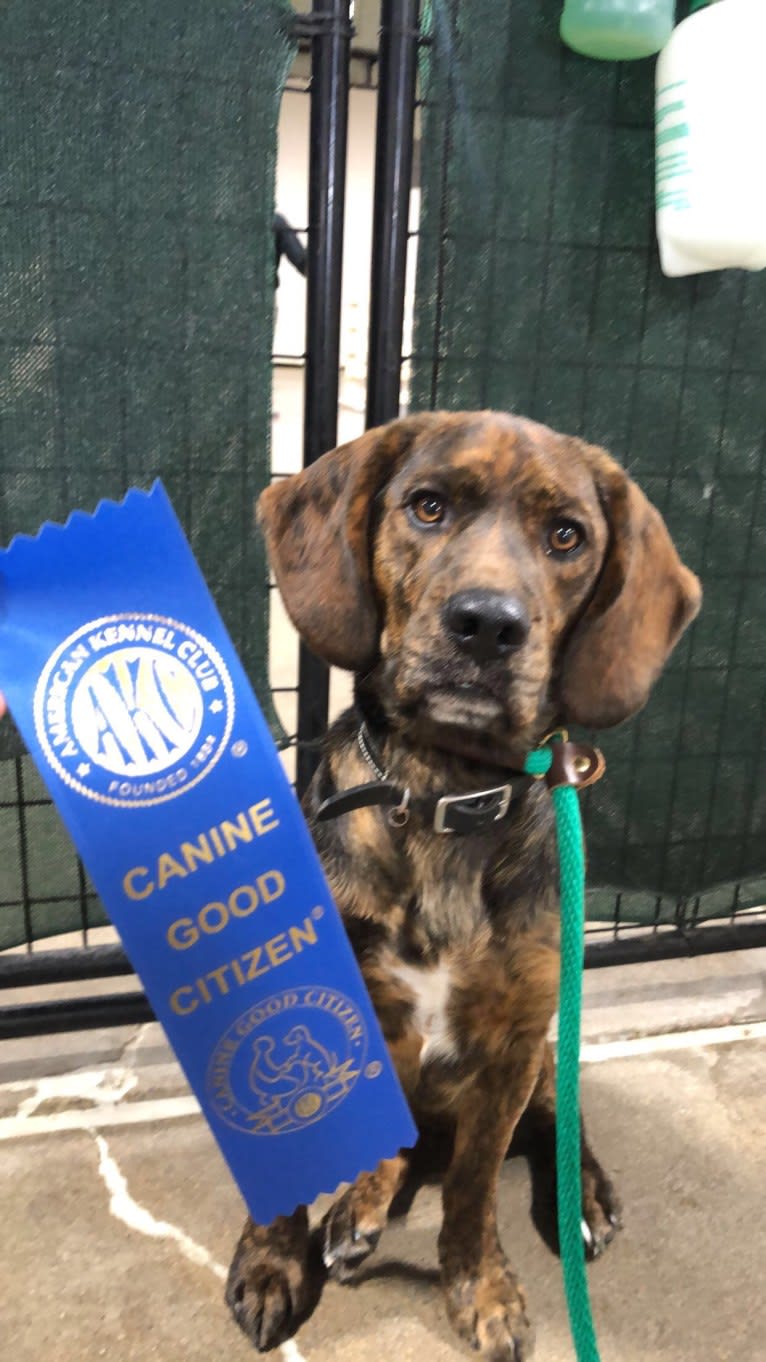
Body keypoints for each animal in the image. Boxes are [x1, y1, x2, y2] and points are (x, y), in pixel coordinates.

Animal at [224, 408, 697, 1356]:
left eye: (567, 536)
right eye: (428, 505)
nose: (486, 625)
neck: (444, 792)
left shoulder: (512, 1042)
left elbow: (475, 1190)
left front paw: (480, 1290)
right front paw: (271, 1262)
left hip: (546, 1048)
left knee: (554, 1119)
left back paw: (581, 1196)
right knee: (399, 1144)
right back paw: (361, 1209)